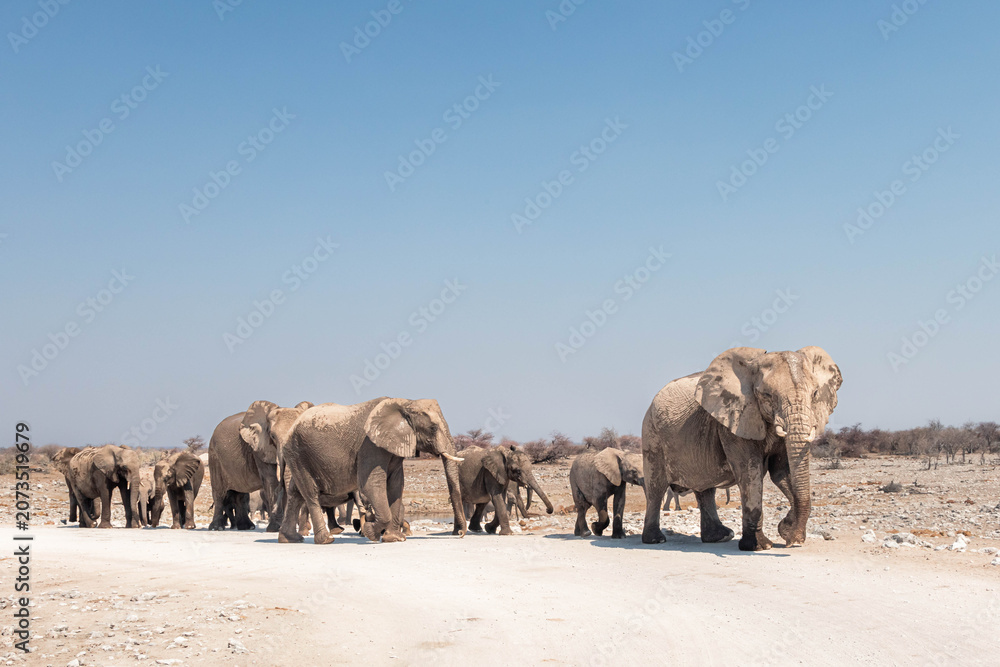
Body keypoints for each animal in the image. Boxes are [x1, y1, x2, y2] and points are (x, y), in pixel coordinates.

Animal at [208, 400, 312, 531]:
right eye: (272, 436)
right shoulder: (259, 449)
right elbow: (271, 481)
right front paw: (274, 528)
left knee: (241, 495)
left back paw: (247, 527)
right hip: (214, 457)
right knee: (219, 492)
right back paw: (217, 528)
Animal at [279, 397, 467, 545]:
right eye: (433, 428)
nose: (459, 533)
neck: (405, 403)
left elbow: (396, 485)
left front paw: (395, 539)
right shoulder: (370, 445)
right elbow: (372, 484)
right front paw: (371, 533)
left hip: (298, 456)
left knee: (295, 492)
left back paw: (289, 539)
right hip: (298, 452)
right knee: (310, 494)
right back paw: (326, 540)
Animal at [641, 346, 842, 551]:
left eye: (815, 394)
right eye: (767, 395)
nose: (791, 541)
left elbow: (781, 472)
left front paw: (788, 533)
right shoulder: (734, 420)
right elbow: (749, 472)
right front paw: (759, 546)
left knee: (705, 488)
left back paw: (720, 537)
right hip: (652, 436)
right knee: (656, 487)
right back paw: (655, 540)